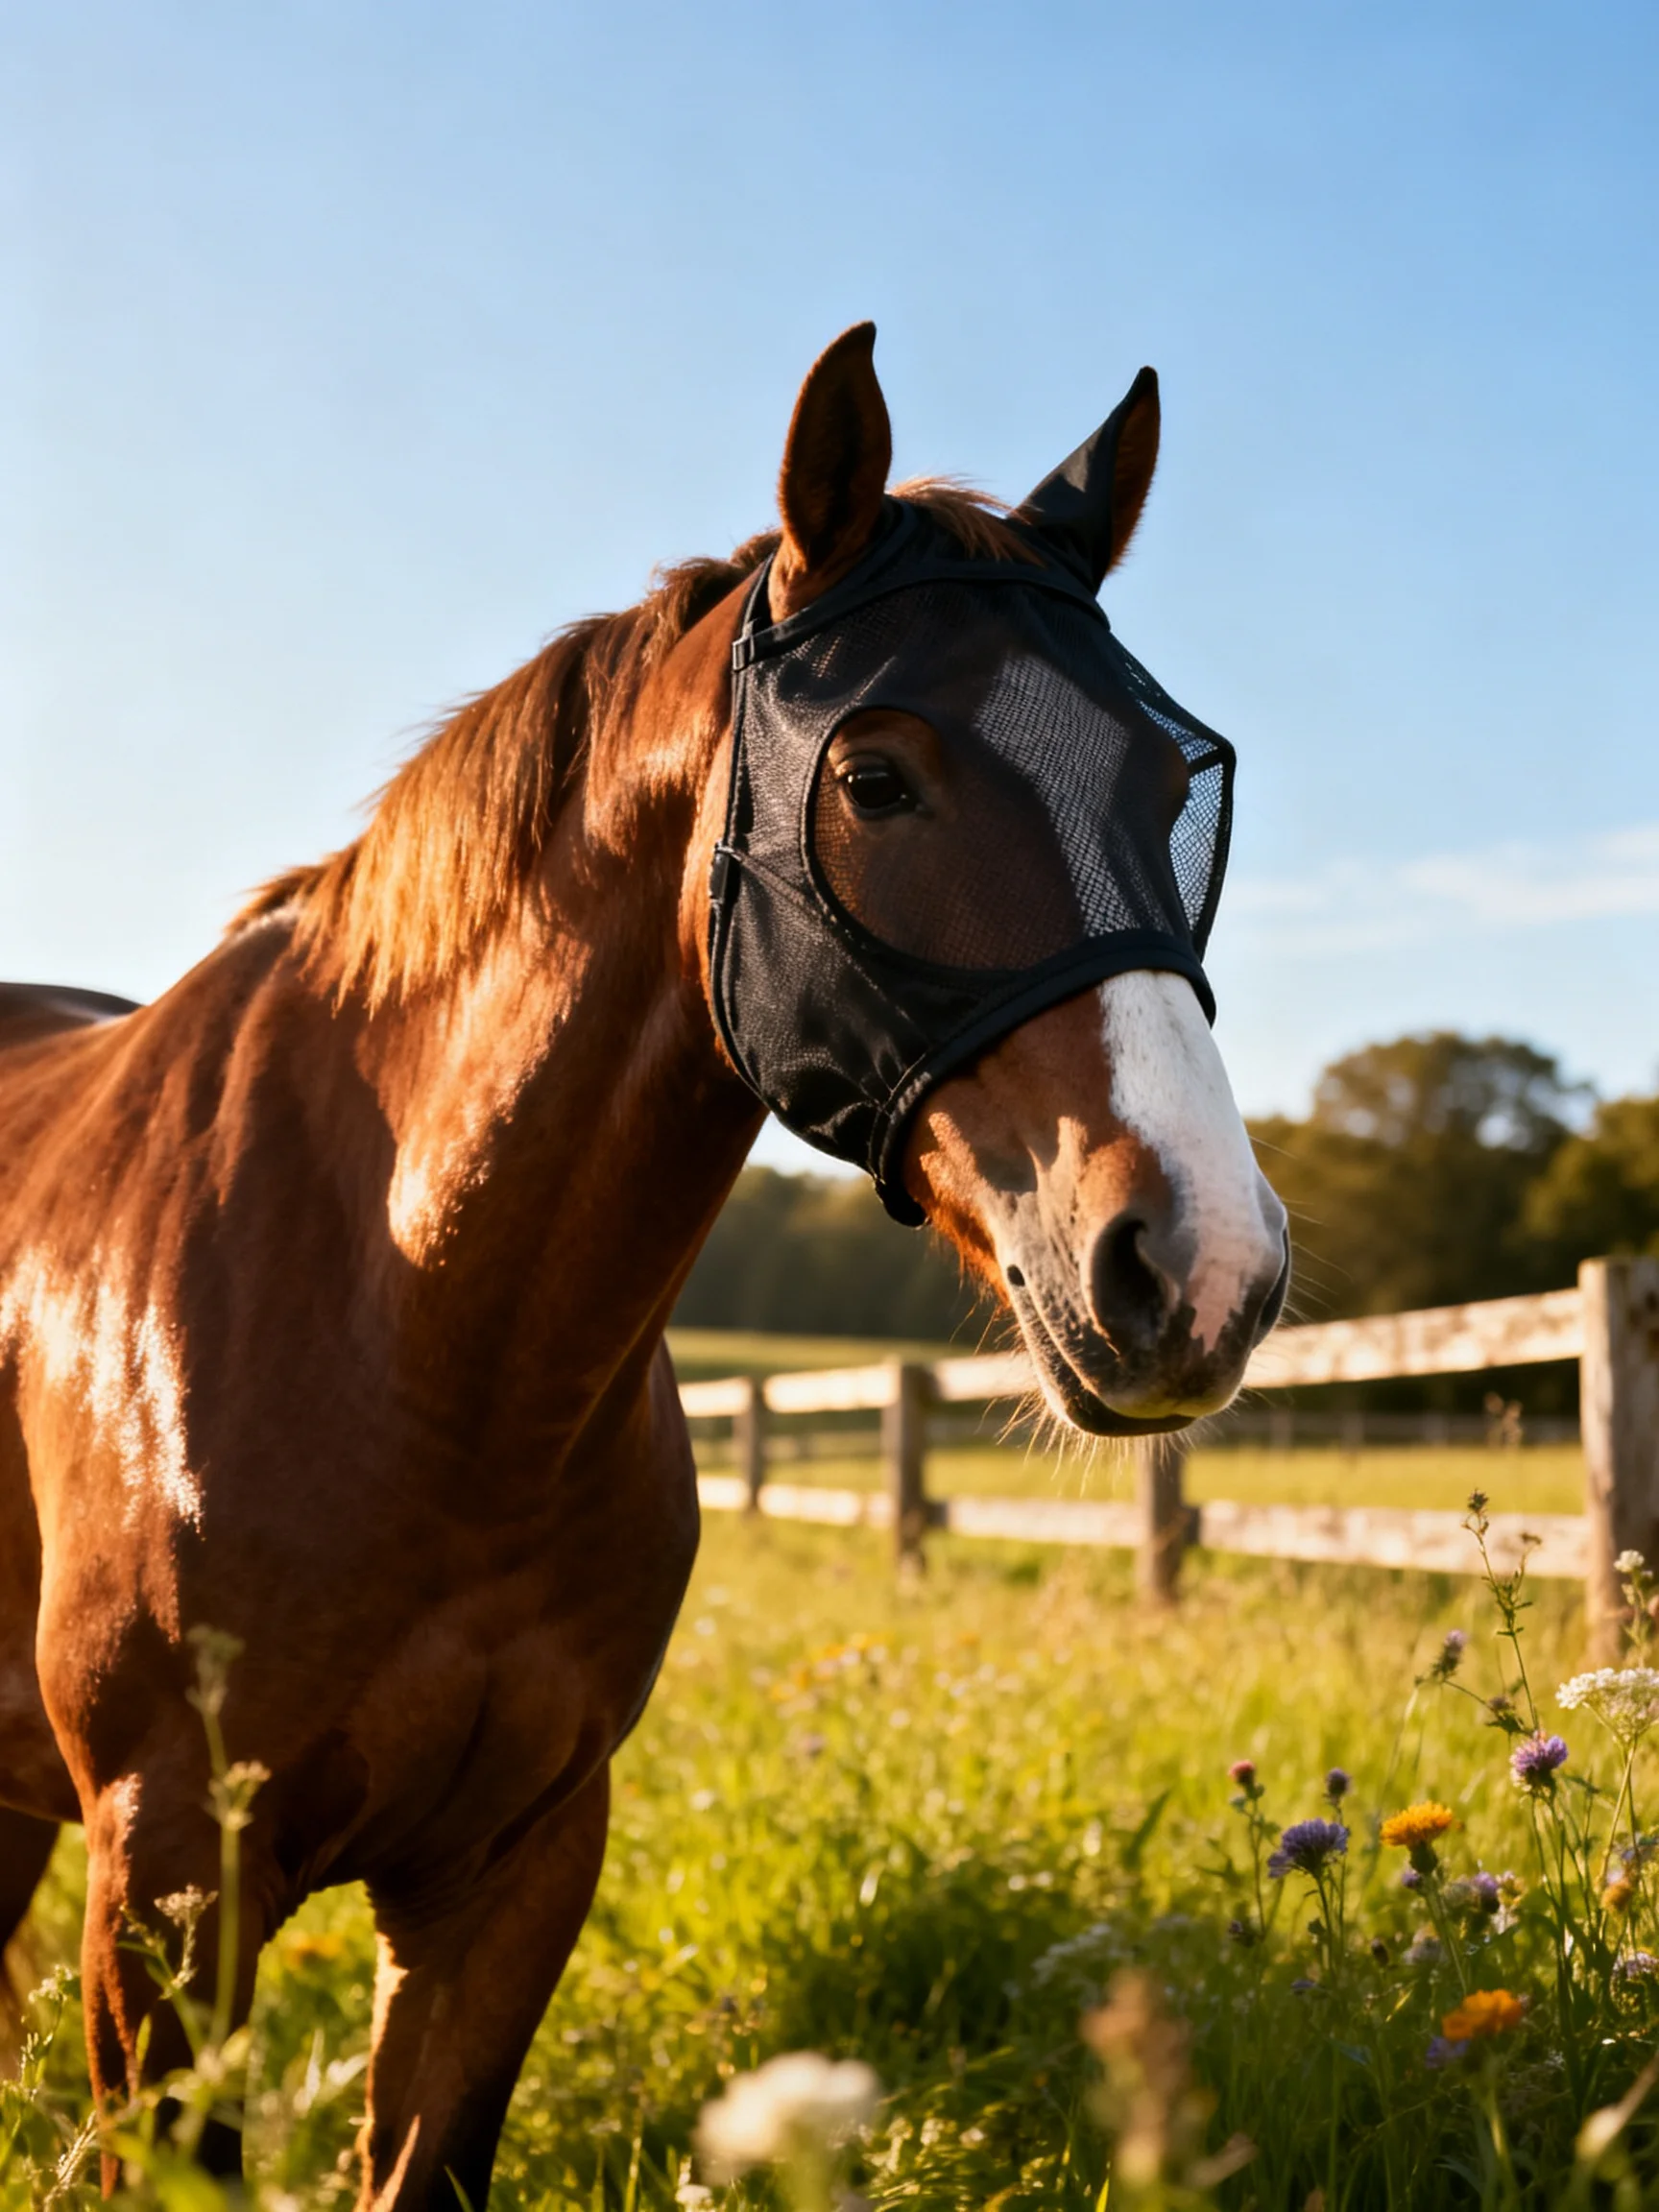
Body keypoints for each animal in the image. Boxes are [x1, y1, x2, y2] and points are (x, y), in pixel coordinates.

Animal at [0, 323, 1288, 2205]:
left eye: (1172, 782)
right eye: (874, 777)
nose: (1200, 1263)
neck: (404, 1330)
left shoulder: (515, 1868)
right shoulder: (165, 1890)